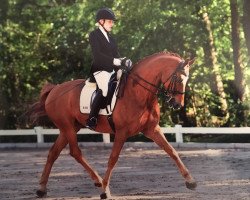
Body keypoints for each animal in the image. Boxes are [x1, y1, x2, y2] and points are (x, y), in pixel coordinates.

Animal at [31, 51, 196, 198]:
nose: (177, 104)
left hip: (68, 128)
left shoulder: (152, 129)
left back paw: (41, 189)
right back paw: (98, 181)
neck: (138, 93)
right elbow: (113, 158)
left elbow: (172, 151)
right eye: (179, 79)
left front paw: (190, 181)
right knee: (75, 152)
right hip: (68, 127)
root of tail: (54, 89)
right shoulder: (122, 132)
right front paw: (105, 190)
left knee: (53, 152)